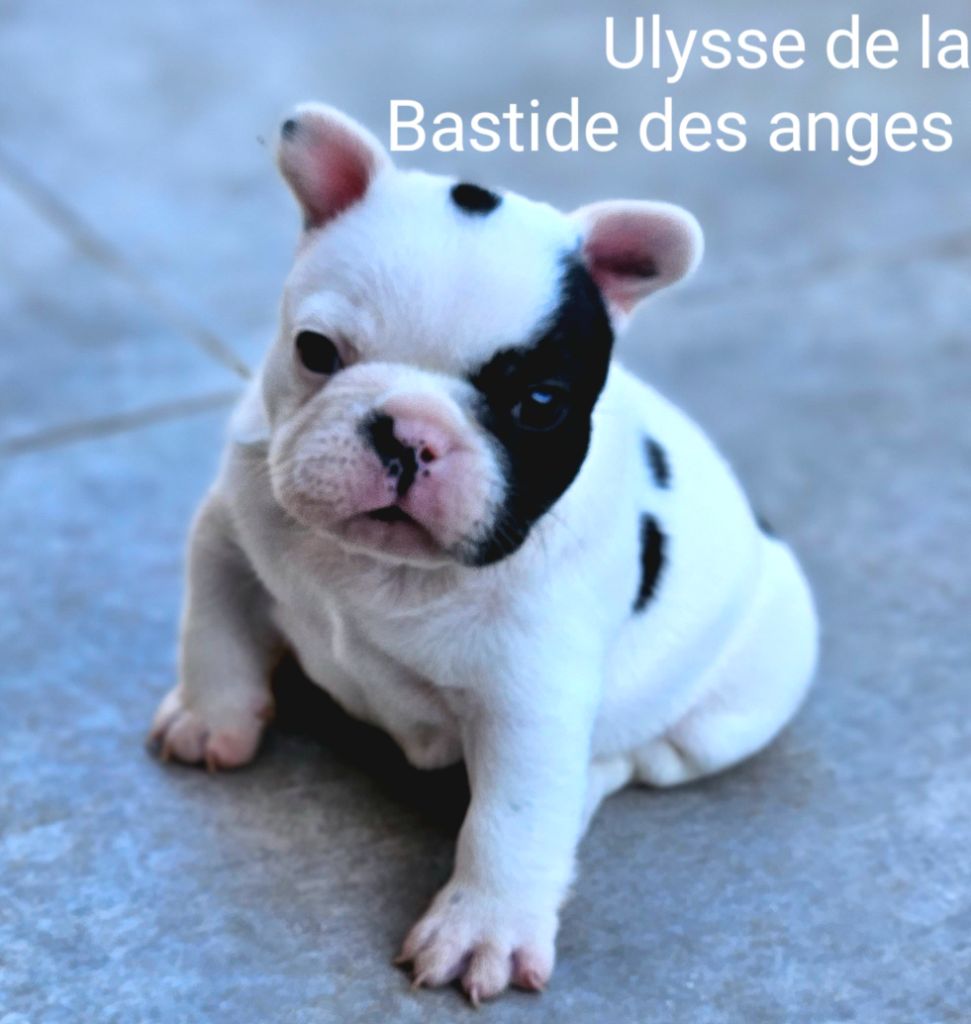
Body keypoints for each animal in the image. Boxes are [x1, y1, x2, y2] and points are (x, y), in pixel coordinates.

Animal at [149, 103, 818, 1004]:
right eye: (315, 349)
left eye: (538, 403)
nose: (410, 433)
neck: (383, 568)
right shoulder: (226, 536)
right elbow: (212, 632)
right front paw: (211, 720)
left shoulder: (531, 700)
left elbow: (511, 820)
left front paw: (482, 931)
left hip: (740, 697)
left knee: (635, 758)